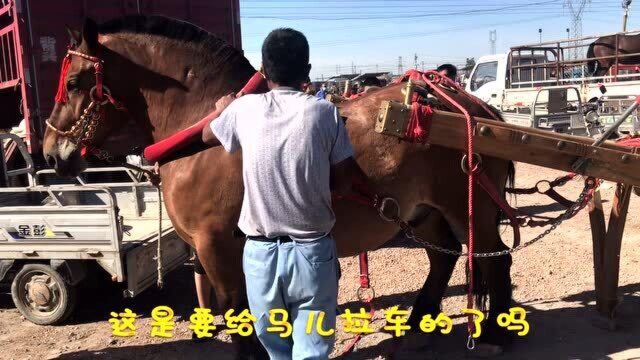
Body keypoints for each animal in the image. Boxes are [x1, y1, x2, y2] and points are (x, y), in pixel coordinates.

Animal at [42, 16, 516, 358]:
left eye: (74, 83)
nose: (49, 153)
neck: (206, 132)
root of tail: (478, 108)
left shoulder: (216, 245)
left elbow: (237, 310)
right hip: (422, 212)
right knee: (446, 256)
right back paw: (418, 324)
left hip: (468, 206)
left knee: (495, 258)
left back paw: (496, 332)